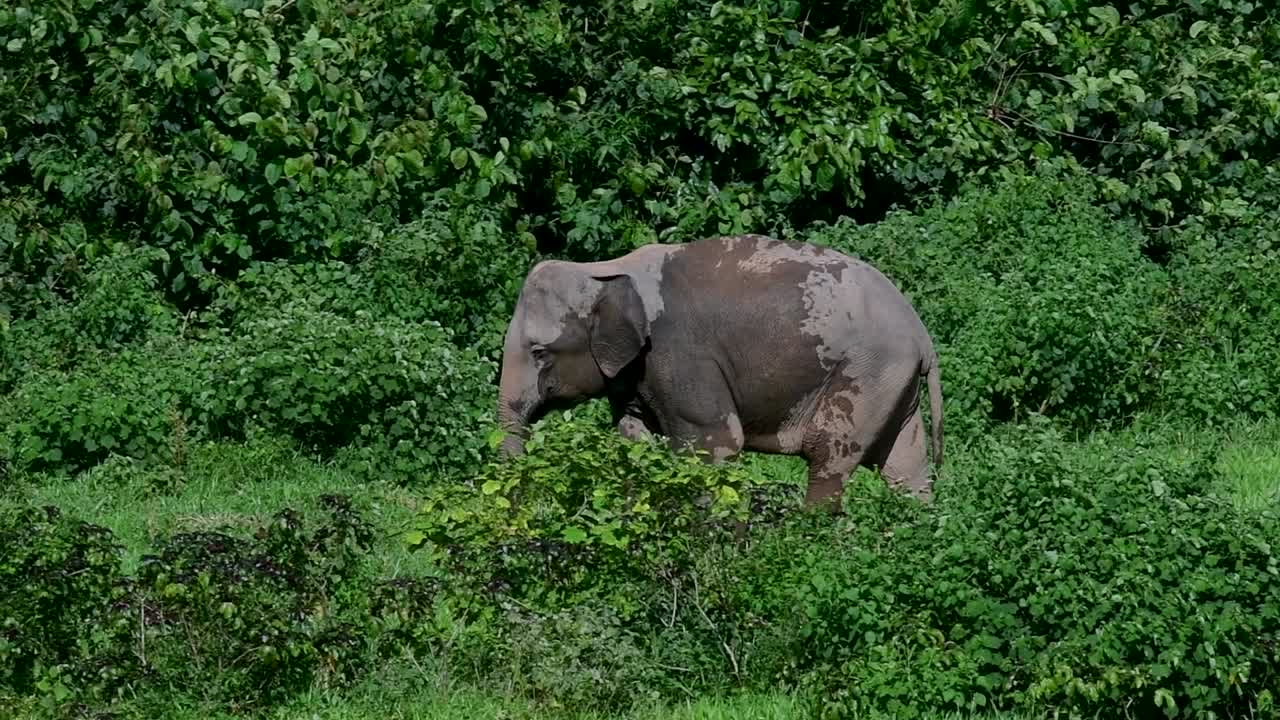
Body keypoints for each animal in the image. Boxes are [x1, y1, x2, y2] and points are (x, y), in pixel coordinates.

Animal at [495, 233, 943, 508]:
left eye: (539, 352)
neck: (602, 268)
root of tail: (923, 335)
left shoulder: (680, 355)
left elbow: (716, 445)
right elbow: (635, 437)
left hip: (866, 373)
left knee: (828, 454)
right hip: (892, 383)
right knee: (905, 467)